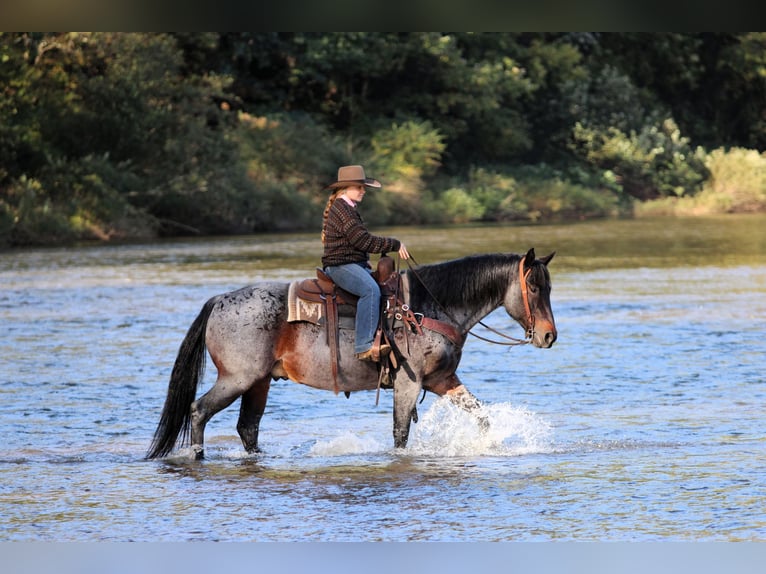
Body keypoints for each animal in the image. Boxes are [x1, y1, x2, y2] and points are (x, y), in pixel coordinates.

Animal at [146, 247, 557, 460]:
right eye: (534, 287)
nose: (549, 336)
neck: (430, 307)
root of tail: (220, 300)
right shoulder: (409, 383)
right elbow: (400, 432)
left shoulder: (442, 379)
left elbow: (481, 416)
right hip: (236, 379)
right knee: (199, 411)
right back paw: (198, 455)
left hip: (258, 383)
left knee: (247, 427)